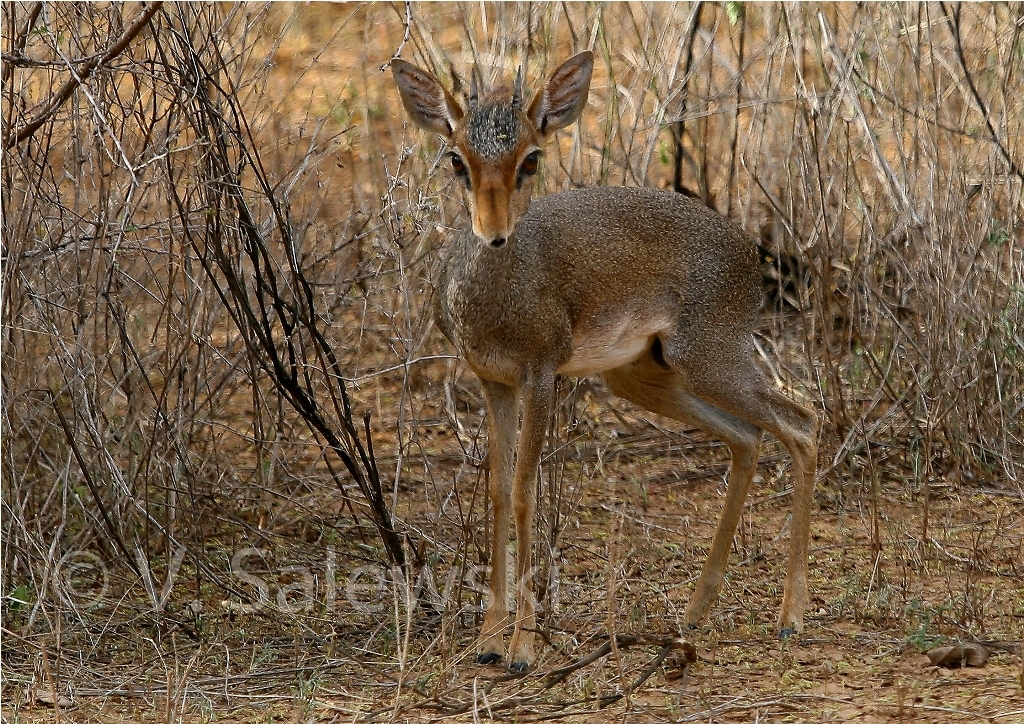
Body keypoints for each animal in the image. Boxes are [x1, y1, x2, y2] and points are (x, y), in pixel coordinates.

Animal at [387, 52, 819, 675]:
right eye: (456, 160)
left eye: (530, 158)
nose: (494, 235)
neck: (497, 294)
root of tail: (751, 252)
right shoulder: (493, 383)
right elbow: (497, 491)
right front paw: (488, 639)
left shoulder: (541, 376)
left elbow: (526, 490)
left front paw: (522, 647)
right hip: (642, 375)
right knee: (747, 436)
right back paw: (696, 611)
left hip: (710, 357)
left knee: (801, 423)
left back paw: (790, 616)